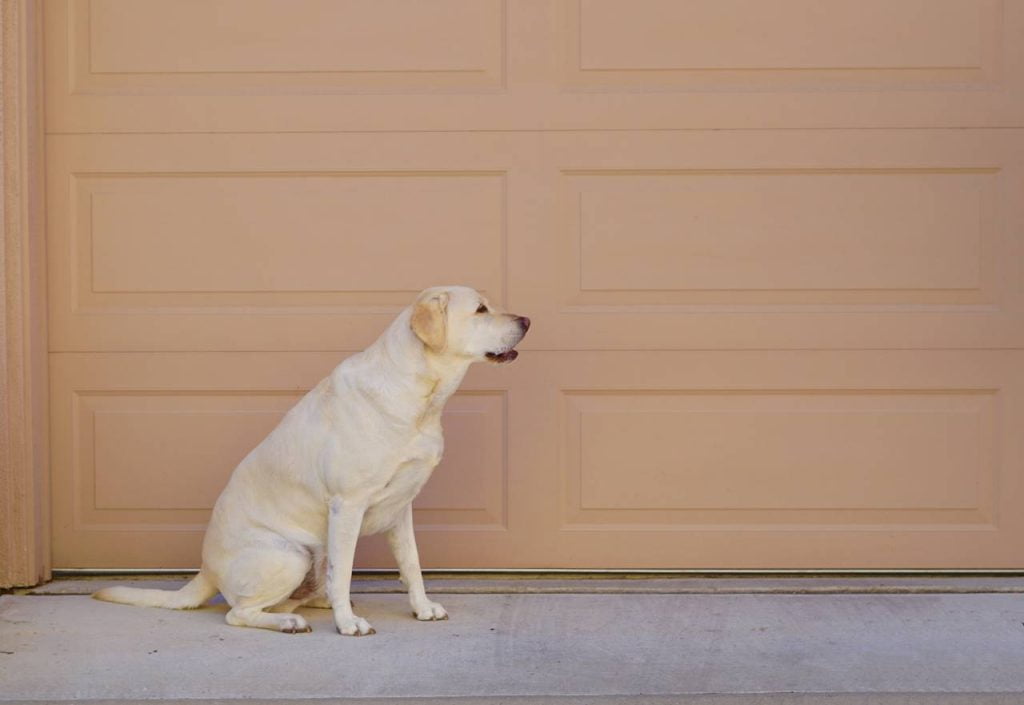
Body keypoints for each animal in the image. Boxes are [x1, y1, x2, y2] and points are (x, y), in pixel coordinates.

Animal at [93, 282, 532, 635]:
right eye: (481, 310)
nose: (527, 320)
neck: (421, 397)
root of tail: (206, 569)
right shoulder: (347, 505)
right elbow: (346, 572)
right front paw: (348, 625)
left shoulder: (402, 509)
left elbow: (412, 565)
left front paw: (422, 608)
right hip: (290, 555)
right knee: (239, 612)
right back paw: (290, 621)